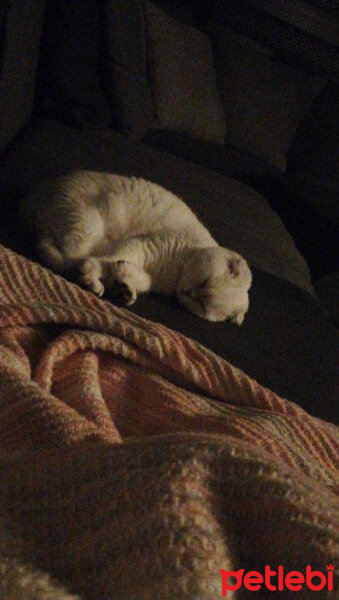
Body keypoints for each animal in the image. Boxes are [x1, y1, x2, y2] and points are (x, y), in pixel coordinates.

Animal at [20, 170, 252, 324]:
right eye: (205, 282)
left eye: (201, 305)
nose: (189, 291)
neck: (174, 276)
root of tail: (33, 196)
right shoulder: (141, 246)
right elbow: (108, 261)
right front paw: (104, 275)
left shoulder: (148, 271)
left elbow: (140, 279)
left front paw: (124, 287)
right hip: (88, 227)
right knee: (71, 258)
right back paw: (90, 278)